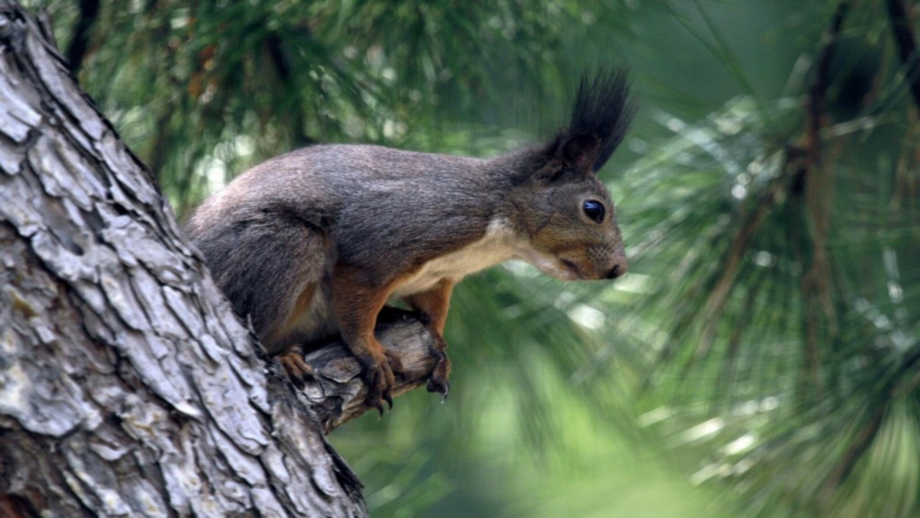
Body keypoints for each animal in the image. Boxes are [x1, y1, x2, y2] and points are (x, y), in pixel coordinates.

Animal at [185, 68, 632, 414]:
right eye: (593, 209)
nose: (618, 270)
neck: (493, 228)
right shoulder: (384, 243)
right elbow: (356, 307)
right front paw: (369, 351)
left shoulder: (438, 280)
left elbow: (433, 314)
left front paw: (440, 349)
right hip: (282, 246)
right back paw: (285, 357)